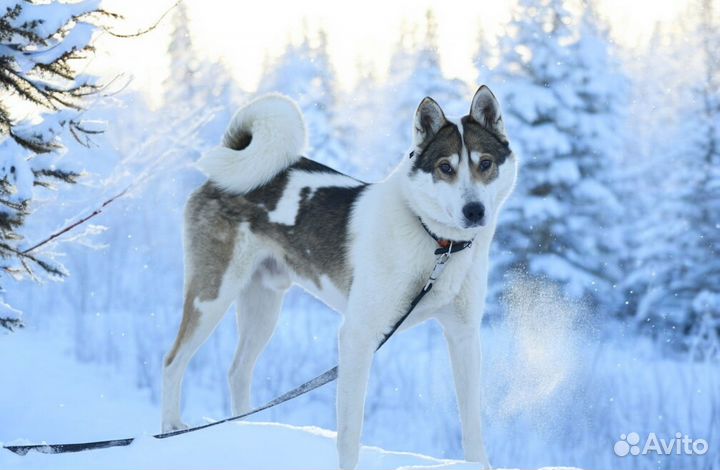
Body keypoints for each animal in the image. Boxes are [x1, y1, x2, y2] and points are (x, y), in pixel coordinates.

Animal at [160, 86, 516, 468]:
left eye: (485, 164)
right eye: (445, 167)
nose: (474, 211)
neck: (438, 245)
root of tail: (220, 177)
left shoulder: (463, 336)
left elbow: (472, 424)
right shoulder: (358, 336)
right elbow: (349, 433)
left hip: (263, 307)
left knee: (238, 370)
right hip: (212, 296)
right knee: (173, 362)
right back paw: (170, 428)